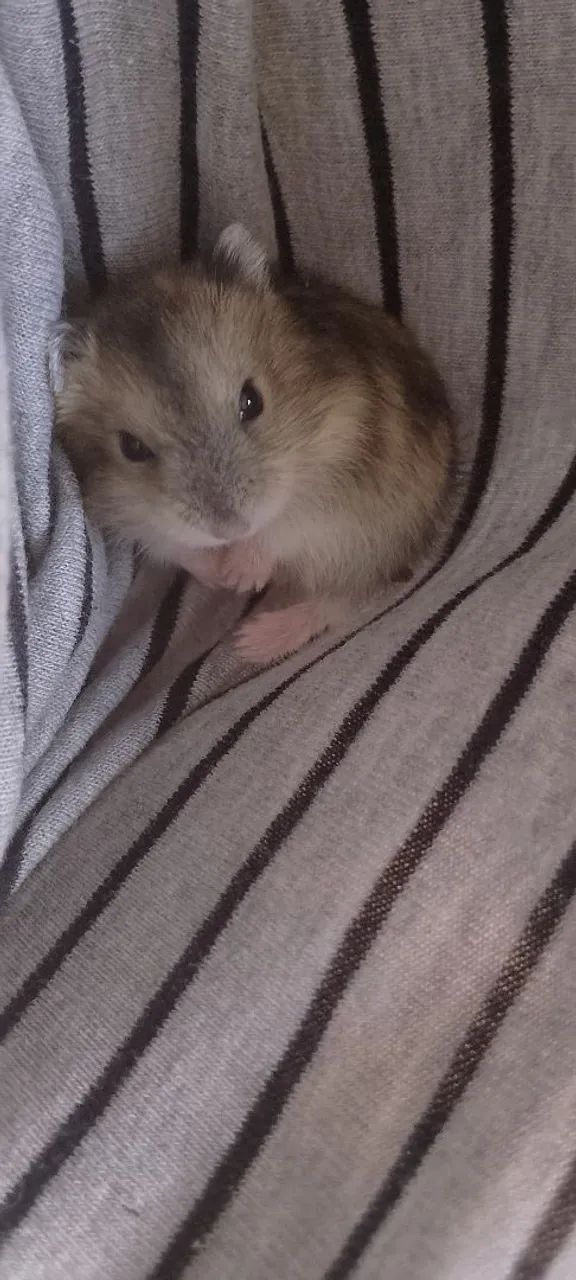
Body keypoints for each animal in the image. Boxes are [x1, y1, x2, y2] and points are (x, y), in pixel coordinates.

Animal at [51, 224, 456, 662]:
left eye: (252, 401)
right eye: (131, 448)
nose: (230, 530)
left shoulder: (335, 479)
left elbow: (282, 528)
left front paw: (241, 576)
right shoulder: (125, 511)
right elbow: (175, 543)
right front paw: (222, 575)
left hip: (381, 545)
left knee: (338, 600)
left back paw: (252, 642)